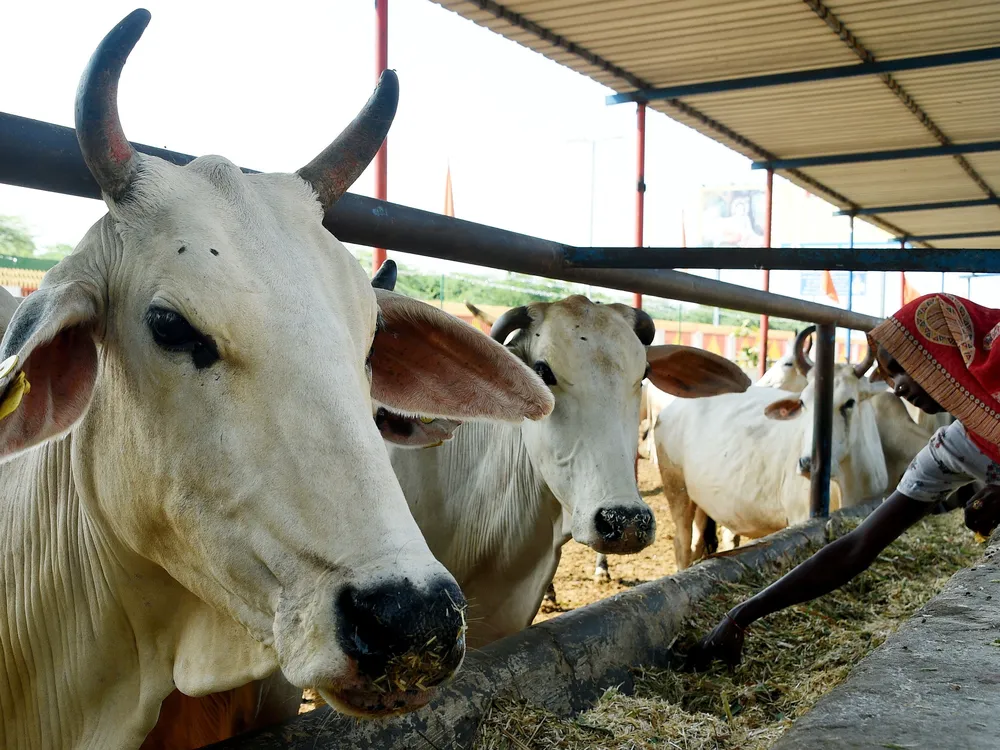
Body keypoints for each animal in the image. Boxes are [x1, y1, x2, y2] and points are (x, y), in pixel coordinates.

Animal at [660, 352, 888, 568]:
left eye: (849, 402)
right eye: (803, 403)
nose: (807, 463)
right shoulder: (799, 517)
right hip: (676, 490)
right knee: (682, 545)